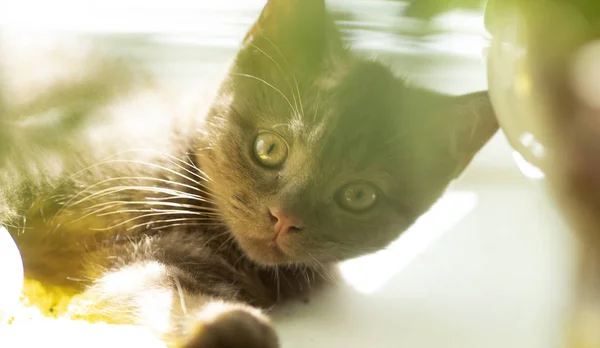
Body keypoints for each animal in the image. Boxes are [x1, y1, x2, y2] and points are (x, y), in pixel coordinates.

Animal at [0, 0, 496, 348]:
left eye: (359, 196)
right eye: (269, 148)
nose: (284, 217)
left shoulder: (148, 264)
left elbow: (145, 290)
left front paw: (228, 323)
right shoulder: (37, 163)